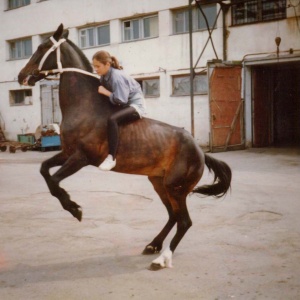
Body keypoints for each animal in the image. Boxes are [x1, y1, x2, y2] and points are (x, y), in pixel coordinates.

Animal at [18, 24, 232, 270]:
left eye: (43, 47)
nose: (21, 76)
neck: (86, 106)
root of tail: (200, 151)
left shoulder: (81, 158)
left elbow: (53, 181)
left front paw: (75, 209)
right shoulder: (67, 153)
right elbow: (44, 170)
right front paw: (72, 206)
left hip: (175, 188)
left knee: (184, 221)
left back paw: (162, 258)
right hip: (159, 183)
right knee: (173, 216)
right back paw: (153, 245)